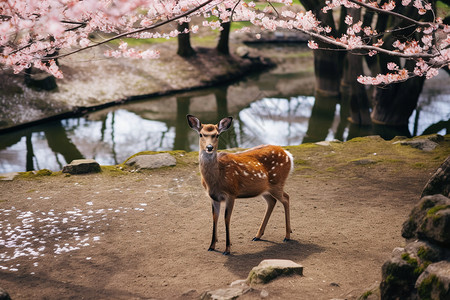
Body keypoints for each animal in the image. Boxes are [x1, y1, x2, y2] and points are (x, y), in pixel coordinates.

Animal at [185, 113, 294, 254]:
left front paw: (227, 249)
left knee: (286, 198)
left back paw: (287, 235)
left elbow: (227, 218)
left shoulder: (231, 193)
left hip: (277, 183)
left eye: (217, 135)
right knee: (272, 201)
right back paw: (258, 235)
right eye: (201, 134)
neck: (215, 180)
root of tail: (288, 155)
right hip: (265, 189)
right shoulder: (213, 197)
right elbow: (215, 217)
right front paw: (211, 246)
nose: (209, 147)